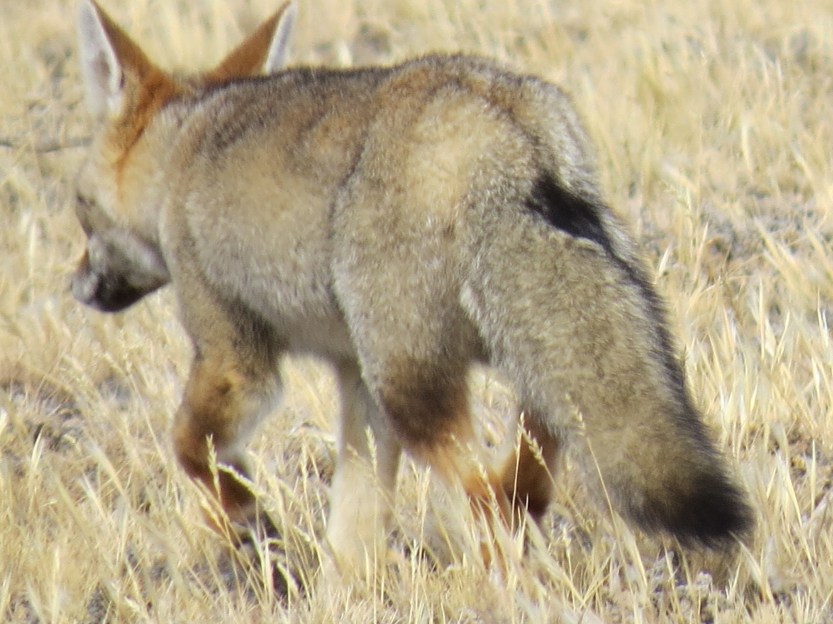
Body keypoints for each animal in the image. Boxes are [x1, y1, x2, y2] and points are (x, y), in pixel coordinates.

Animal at [71, 0, 752, 587]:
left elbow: (192, 448)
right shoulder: (357, 385)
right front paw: (340, 598)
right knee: (521, 486)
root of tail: (502, 121)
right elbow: (354, 528)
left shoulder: (235, 358)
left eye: (78, 207)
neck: (180, 155)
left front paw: (251, 522)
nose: (75, 286)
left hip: (413, 388)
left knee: (487, 498)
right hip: (524, 372)